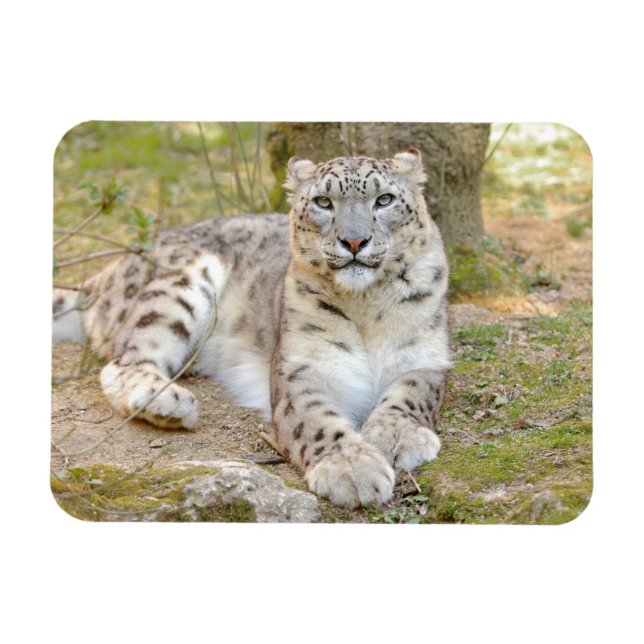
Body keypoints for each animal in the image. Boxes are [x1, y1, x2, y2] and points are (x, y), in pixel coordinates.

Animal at [52, 148, 450, 509]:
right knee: (124, 359)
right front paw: (352, 469)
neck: (365, 305)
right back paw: (166, 400)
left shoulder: (426, 357)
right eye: (323, 202)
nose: (354, 240)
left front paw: (395, 438)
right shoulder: (302, 367)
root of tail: (109, 272)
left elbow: (410, 396)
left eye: (384, 199)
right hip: (178, 288)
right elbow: (317, 419)